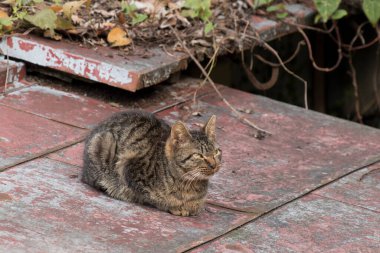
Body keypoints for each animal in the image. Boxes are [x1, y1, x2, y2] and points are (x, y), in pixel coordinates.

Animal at [81, 109, 221, 216]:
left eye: (216, 152)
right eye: (199, 155)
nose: (214, 165)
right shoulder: (129, 170)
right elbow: (153, 198)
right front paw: (174, 207)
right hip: (104, 143)